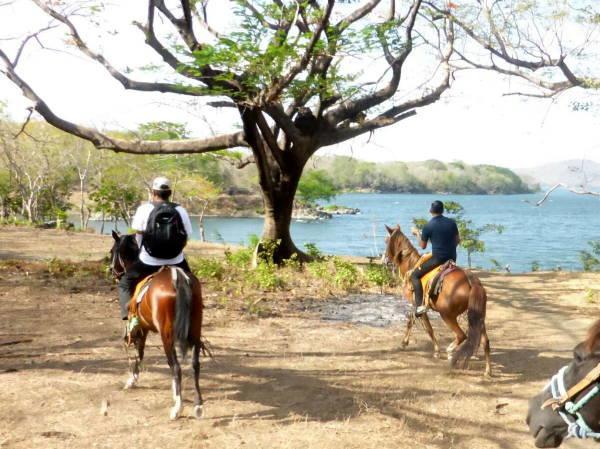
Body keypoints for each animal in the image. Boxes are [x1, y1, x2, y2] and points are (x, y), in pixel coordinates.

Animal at [110, 233, 206, 418]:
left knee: (176, 366)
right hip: (195, 330)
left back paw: (177, 408)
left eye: (112, 251)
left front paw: (132, 380)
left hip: (166, 334)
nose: (112, 271)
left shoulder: (142, 329)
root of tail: (178, 277)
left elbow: (139, 353)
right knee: (194, 365)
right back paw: (198, 405)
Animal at [382, 223, 490, 374]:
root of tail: (470, 281)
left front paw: (432, 350)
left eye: (387, 241)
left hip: (447, 315)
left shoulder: (417, 305)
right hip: (478, 316)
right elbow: (418, 324)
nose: (384, 260)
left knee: (462, 335)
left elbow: (423, 326)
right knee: (485, 341)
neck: (411, 264)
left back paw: (450, 352)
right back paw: (487, 370)